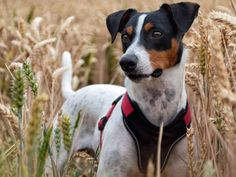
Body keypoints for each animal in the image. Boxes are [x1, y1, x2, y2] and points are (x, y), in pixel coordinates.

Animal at [51, 1, 199, 177]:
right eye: (125, 37)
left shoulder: (180, 169)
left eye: (156, 33)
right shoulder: (112, 170)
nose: (126, 62)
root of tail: (74, 93)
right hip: (54, 159)